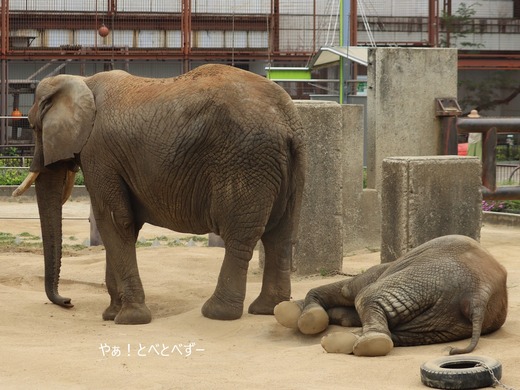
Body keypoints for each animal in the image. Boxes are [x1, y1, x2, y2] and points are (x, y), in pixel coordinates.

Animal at [13, 64, 304, 326]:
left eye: (34, 127)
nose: (68, 301)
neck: (84, 80)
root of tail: (288, 122)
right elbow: (123, 224)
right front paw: (111, 314)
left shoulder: (99, 153)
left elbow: (114, 220)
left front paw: (128, 319)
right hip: (289, 167)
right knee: (280, 234)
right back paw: (267, 309)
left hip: (245, 162)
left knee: (240, 236)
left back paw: (217, 312)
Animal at [274, 235, 506, 356]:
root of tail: (479, 294)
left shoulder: (376, 273)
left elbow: (348, 290)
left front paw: (290, 312)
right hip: (448, 320)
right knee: (404, 333)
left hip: (427, 279)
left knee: (365, 296)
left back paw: (367, 343)